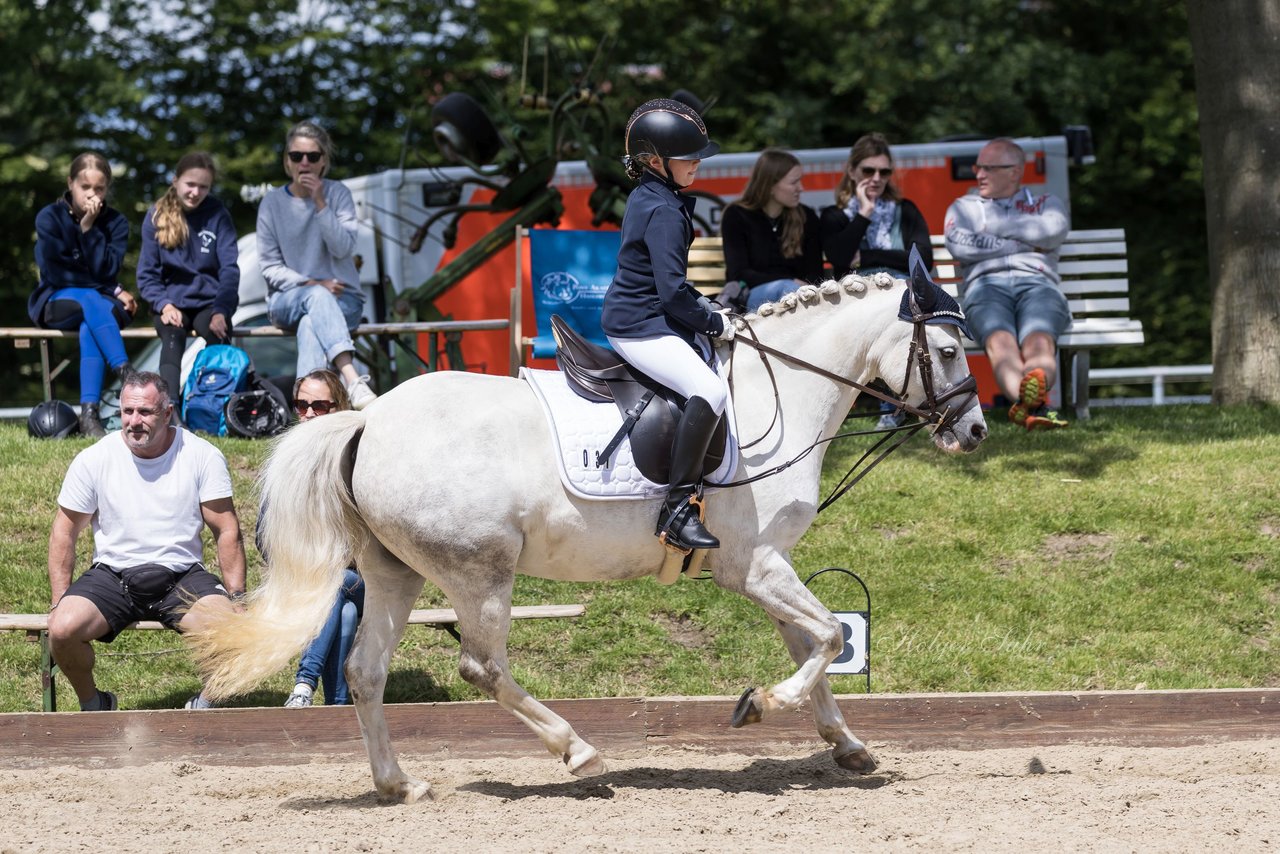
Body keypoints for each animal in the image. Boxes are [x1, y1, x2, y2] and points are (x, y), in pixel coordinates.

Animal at [192, 277, 988, 804]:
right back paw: (577, 751)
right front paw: (761, 704)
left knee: (365, 672)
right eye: (950, 350)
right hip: (481, 572)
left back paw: (398, 784)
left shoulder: (770, 568)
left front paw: (846, 745)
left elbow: (813, 645)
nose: (975, 431)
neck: (781, 394)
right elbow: (828, 637)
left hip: (396, 574)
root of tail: (367, 419)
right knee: (482, 667)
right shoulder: (755, 566)